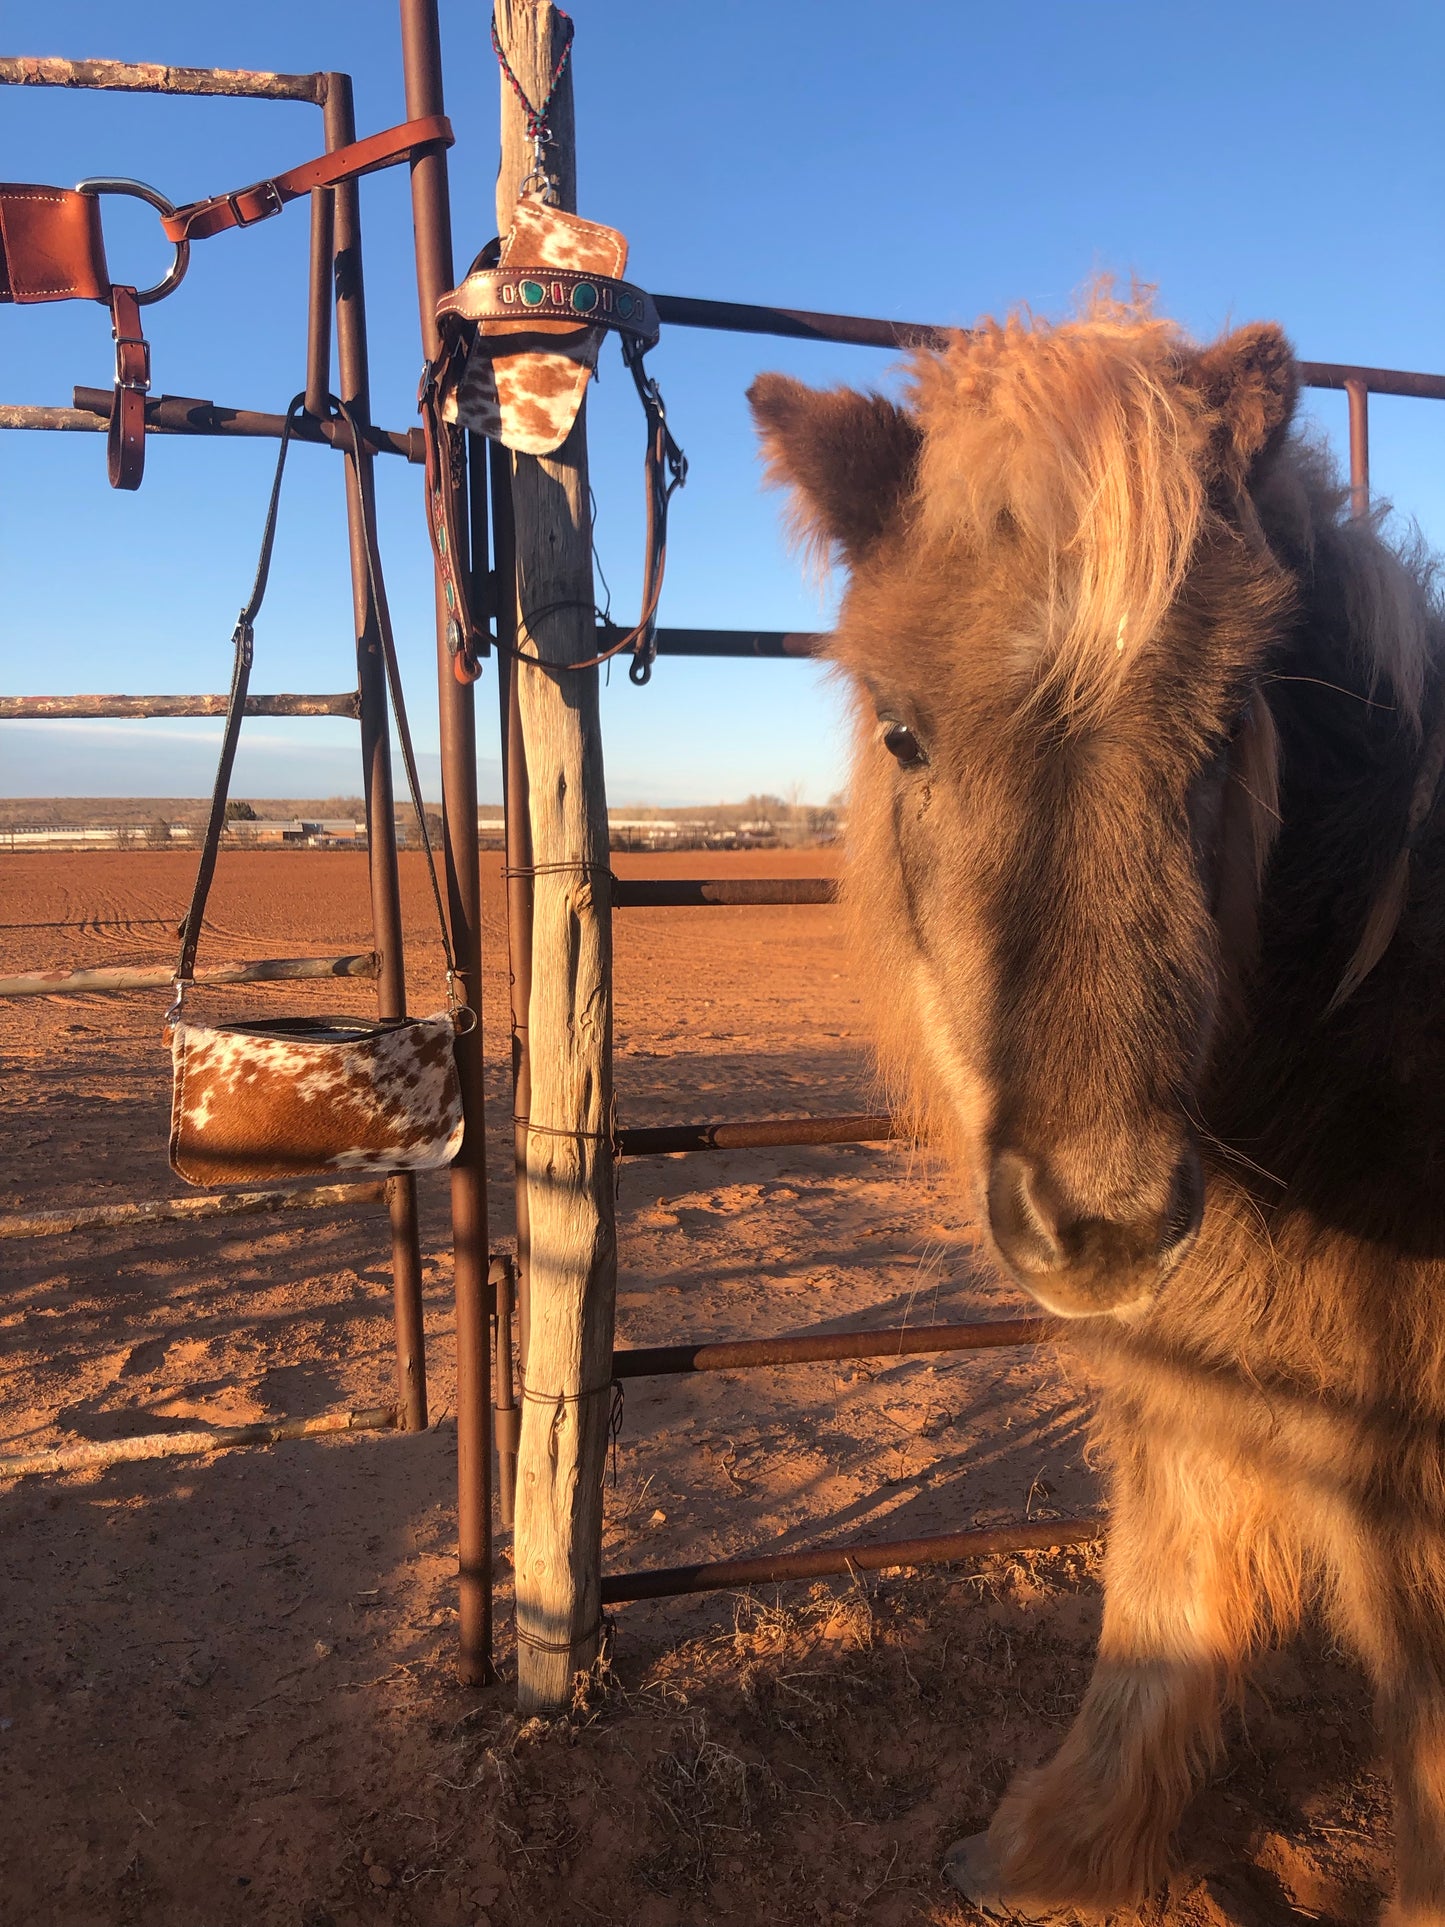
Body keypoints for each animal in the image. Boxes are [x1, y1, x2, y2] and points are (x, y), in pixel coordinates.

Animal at [751, 292, 1445, 1919]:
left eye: (1225, 727)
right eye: (903, 732)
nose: (1109, 1222)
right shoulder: (1211, 1380)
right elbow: (1159, 1603)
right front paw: (1049, 1854)